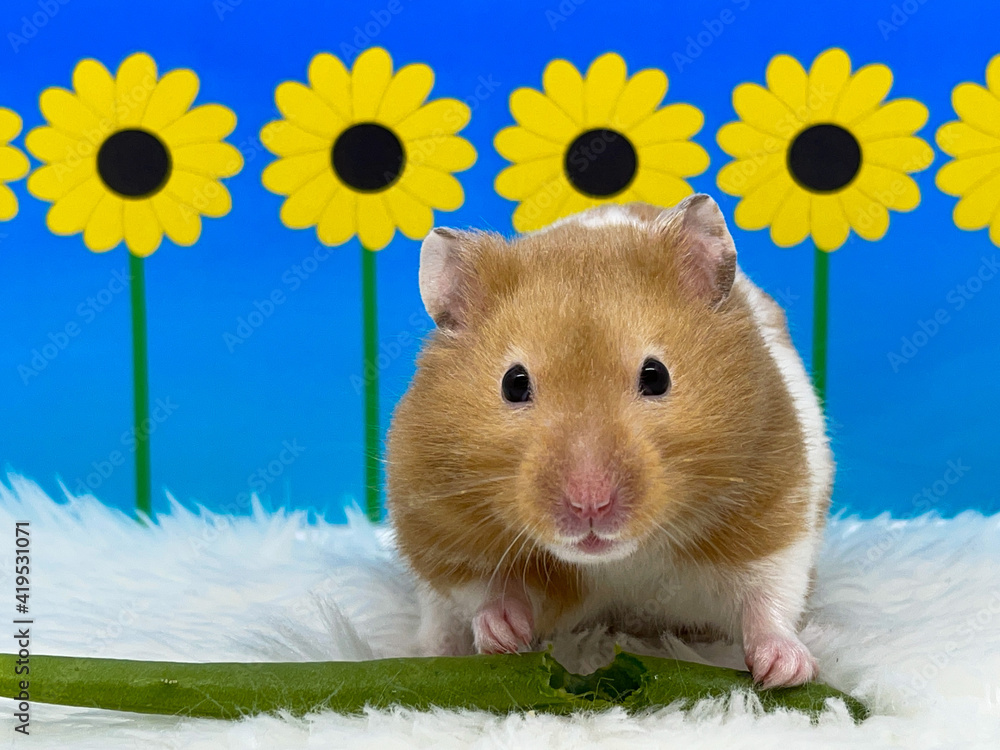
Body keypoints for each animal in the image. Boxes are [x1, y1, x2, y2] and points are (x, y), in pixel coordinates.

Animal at [386, 195, 833, 689]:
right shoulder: (443, 526)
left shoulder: (775, 504)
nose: (590, 506)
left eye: (656, 377)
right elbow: (486, 589)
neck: (618, 560)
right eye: (513, 384)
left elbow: (769, 594)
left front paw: (785, 672)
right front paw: (502, 633)